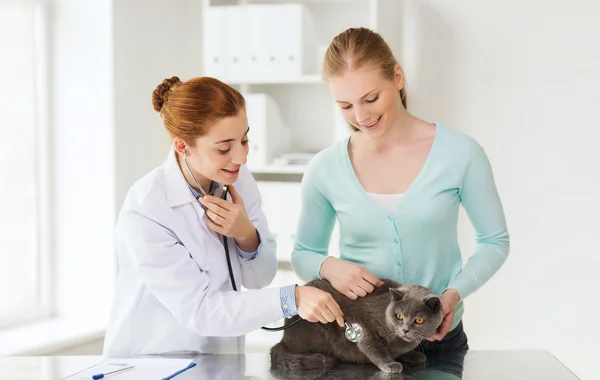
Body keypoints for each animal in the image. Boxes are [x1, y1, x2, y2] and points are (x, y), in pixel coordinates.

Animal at [270, 278, 442, 376]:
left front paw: (414, 355)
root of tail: (282, 340)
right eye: (399, 316)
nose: (405, 329)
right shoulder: (365, 326)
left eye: (419, 320)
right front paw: (390, 364)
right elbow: (374, 348)